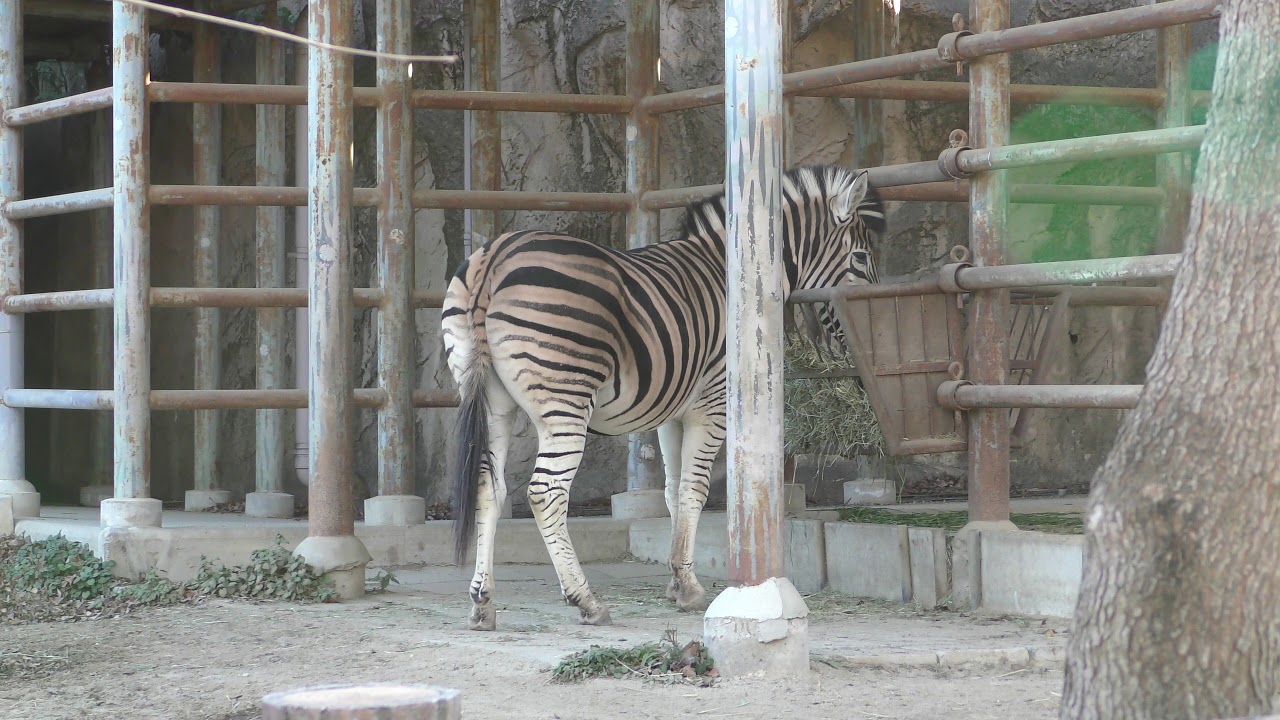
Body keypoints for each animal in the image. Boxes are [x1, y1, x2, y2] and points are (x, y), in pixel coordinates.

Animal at [437, 162, 880, 627]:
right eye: (861, 258)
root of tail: (494, 257)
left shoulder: (673, 410)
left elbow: (673, 489)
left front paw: (678, 580)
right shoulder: (714, 403)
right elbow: (695, 488)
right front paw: (689, 589)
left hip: (491, 399)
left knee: (488, 487)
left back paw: (482, 602)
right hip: (566, 400)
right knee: (546, 492)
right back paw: (585, 599)